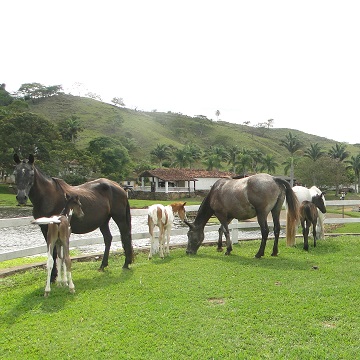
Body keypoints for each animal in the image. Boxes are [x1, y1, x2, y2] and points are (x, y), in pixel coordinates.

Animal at [12, 154, 134, 282]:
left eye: (31, 174)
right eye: (15, 173)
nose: (21, 197)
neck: (48, 197)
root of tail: (119, 187)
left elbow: (56, 253)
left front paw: (55, 276)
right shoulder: (45, 229)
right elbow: (51, 251)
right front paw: (53, 276)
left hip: (119, 218)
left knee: (125, 236)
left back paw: (126, 263)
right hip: (103, 221)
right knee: (108, 239)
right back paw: (103, 265)